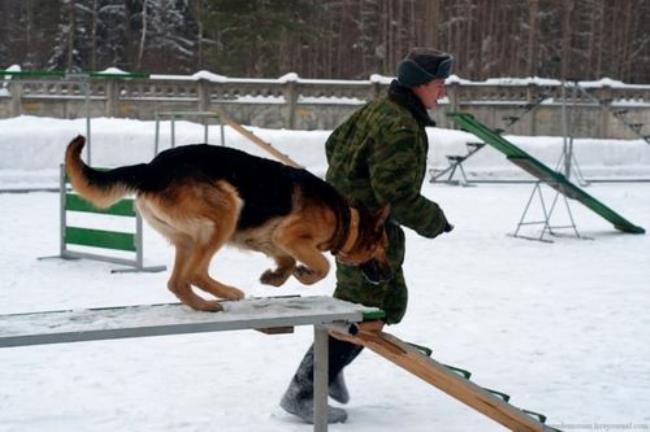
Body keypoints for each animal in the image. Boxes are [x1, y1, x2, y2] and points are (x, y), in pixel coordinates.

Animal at [64, 138, 390, 310]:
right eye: (384, 247)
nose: (388, 276)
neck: (347, 220)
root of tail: (151, 169)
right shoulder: (291, 237)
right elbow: (322, 265)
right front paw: (304, 274)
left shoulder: (271, 242)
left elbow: (286, 262)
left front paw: (274, 277)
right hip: (226, 211)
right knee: (194, 274)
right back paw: (226, 294)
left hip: (188, 239)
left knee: (177, 282)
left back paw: (203, 305)